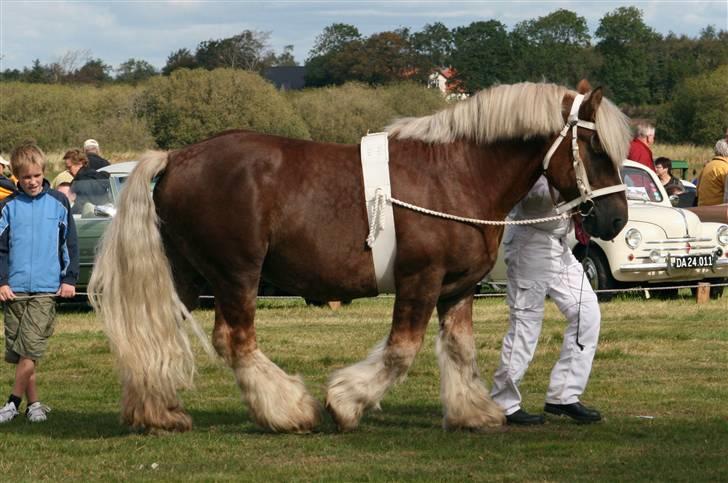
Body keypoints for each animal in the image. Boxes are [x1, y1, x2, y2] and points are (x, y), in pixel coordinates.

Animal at [88, 80, 628, 434]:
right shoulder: (420, 279)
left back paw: (157, 413)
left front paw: (473, 412)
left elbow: (461, 350)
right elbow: (401, 351)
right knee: (234, 341)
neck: (456, 174)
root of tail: (177, 157)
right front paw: (345, 402)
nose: (616, 220)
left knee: (156, 333)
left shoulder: (457, 288)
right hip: (235, 275)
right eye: (595, 146)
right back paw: (288, 411)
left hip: (185, 275)